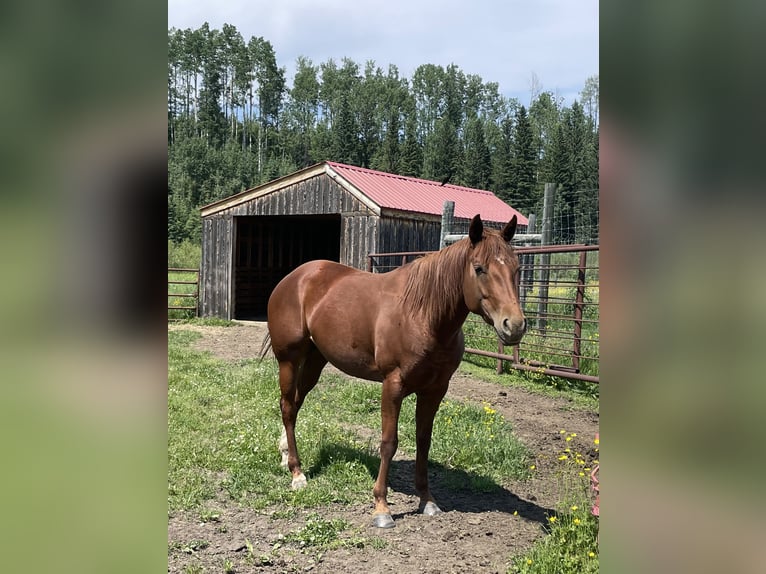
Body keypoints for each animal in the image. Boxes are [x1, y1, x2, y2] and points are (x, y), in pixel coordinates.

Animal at [266, 214, 528, 528]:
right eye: (479, 268)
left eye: (516, 268)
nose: (514, 325)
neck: (423, 314)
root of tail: (294, 278)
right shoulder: (393, 385)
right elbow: (389, 442)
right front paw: (381, 507)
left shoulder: (435, 390)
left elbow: (423, 442)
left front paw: (427, 500)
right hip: (289, 360)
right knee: (287, 406)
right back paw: (297, 473)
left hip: (315, 361)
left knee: (294, 404)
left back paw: (285, 456)